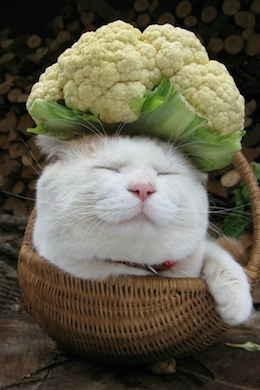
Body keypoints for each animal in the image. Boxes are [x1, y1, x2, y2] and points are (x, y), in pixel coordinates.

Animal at [33, 134, 253, 326]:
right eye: (109, 168)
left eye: (164, 173)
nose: (143, 188)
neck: (138, 268)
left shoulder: (197, 251)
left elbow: (216, 252)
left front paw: (237, 300)